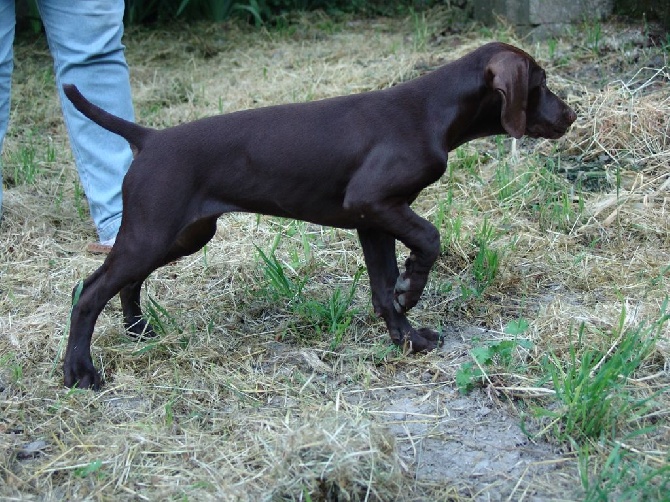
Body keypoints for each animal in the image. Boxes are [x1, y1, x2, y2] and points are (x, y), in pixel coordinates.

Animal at [61, 42, 576, 388]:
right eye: (540, 84)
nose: (571, 116)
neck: (430, 110)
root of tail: (149, 138)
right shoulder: (374, 203)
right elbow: (429, 240)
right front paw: (412, 288)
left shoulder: (373, 221)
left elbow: (382, 291)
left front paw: (407, 339)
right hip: (153, 232)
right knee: (88, 292)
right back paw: (79, 371)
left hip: (182, 235)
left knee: (126, 281)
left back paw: (137, 330)